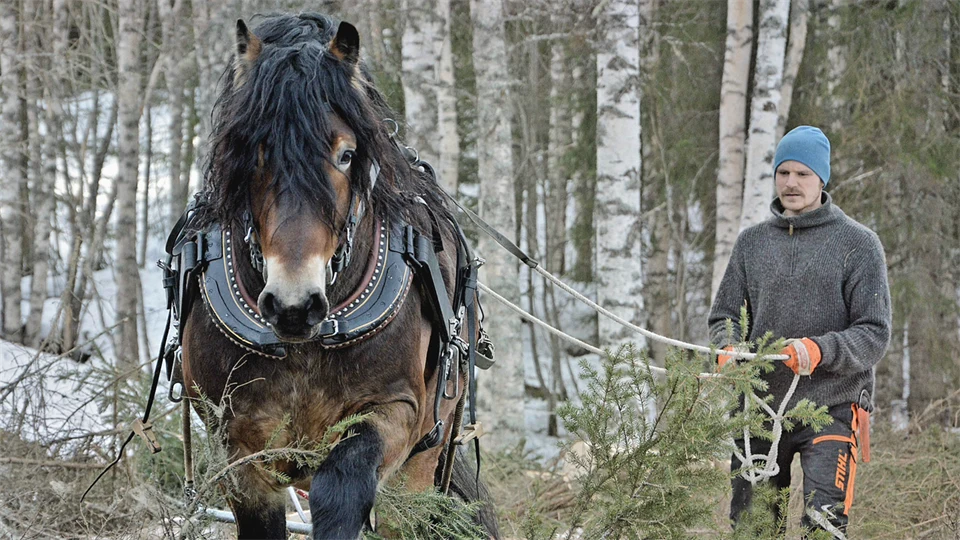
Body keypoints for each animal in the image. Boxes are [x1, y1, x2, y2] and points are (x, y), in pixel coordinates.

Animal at [172, 13, 498, 539]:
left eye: (346, 155)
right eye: (251, 153)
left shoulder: (395, 411)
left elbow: (341, 487)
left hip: (424, 457)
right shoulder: (236, 442)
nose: (294, 305)